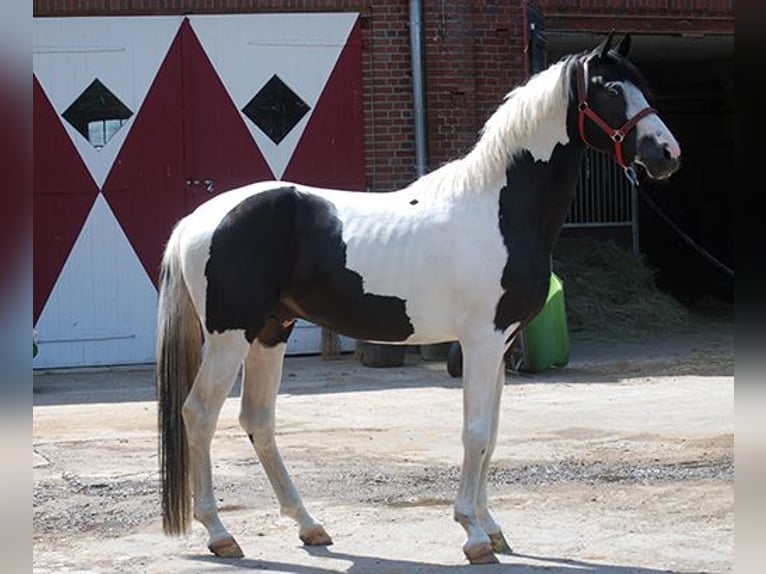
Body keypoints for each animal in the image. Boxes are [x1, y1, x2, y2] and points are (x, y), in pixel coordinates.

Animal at [154, 32, 680, 568]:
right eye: (610, 89)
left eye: (643, 84)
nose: (667, 153)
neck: (499, 209)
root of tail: (197, 218)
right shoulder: (481, 340)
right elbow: (475, 432)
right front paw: (472, 534)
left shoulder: (501, 343)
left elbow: (491, 432)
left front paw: (492, 529)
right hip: (229, 337)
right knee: (199, 413)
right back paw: (220, 533)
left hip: (270, 331)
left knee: (257, 420)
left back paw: (309, 526)